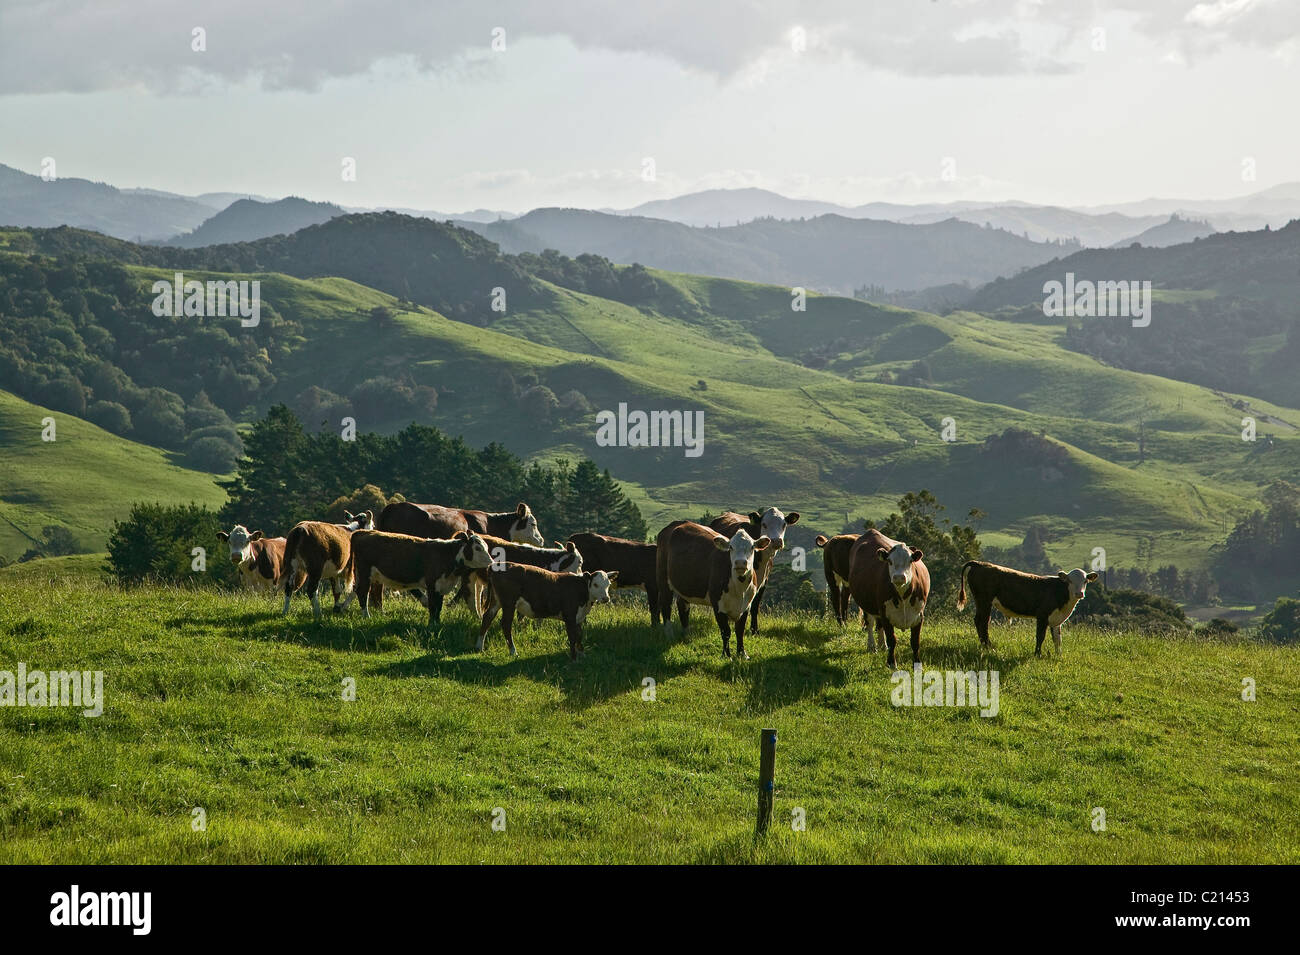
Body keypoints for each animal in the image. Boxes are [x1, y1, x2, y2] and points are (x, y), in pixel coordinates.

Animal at [348, 530, 493, 628]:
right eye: (478, 548)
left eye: (486, 546)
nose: (491, 562)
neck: (448, 555)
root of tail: (364, 532)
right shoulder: (432, 584)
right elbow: (433, 607)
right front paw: (431, 625)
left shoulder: (441, 586)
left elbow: (438, 607)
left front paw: (437, 623)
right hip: (365, 572)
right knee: (362, 592)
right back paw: (366, 616)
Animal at [478, 563, 618, 660]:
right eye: (595, 584)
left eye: (608, 584)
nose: (606, 598)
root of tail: (495, 566)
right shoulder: (569, 616)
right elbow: (572, 637)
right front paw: (573, 658)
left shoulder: (578, 617)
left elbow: (579, 635)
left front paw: (582, 654)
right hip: (509, 603)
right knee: (506, 625)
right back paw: (513, 652)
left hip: (496, 601)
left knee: (487, 618)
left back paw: (479, 647)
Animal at [660, 519, 769, 660]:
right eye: (731, 547)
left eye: (752, 547)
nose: (740, 563)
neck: (739, 589)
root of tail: (678, 523)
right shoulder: (718, 605)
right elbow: (726, 631)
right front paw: (726, 655)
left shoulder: (746, 605)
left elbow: (740, 630)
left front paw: (742, 653)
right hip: (663, 579)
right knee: (665, 605)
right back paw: (669, 634)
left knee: (682, 606)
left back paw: (686, 634)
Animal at [847, 527, 930, 670]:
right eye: (890, 561)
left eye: (910, 561)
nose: (899, 577)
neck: (903, 596)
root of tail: (871, 531)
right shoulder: (886, 614)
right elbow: (892, 639)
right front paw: (891, 663)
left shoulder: (919, 615)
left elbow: (915, 641)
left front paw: (917, 664)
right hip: (867, 604)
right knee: (870, 623)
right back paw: (872, 646)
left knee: (879, 625)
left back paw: (882, 645)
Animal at [956, 561, 1097, 657]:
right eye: (1069, 581)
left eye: (1085, 581)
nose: (1079, 593)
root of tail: (979, 563)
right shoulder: (1042, 615)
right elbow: (1040, 636)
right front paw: (1037, 655)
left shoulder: (1056, 620)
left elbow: (1057, 639)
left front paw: (1058, 656)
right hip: (984, 601)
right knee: (983, 622)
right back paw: (988, 647)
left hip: (981, 601)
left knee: (978, 620)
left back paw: (984, 646)